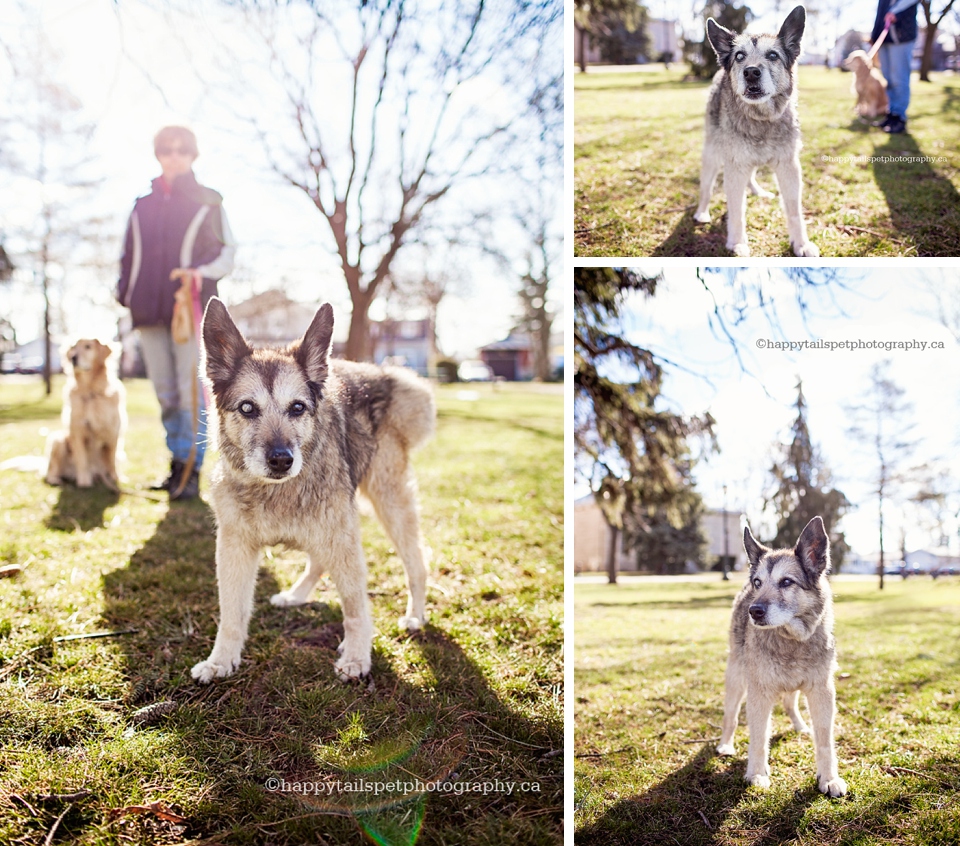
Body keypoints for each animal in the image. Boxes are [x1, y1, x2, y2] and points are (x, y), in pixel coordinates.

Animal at [193, 302, 434, 684]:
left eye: (297, 407)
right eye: (247, 408)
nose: (281, 460)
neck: (274, 492)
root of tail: (383, 375)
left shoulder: (343, 539)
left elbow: (355, 606)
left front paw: (357, 656)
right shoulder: (235, 548)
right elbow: (231, 613)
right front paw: (221, 661)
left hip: (388, 505)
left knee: (417, 563)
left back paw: (415, 614)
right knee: (320, 561)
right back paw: (296, 595)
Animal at [692, 5, 820, 258]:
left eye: (772, 55)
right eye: (739, 56)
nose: (751, 72)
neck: (762, 119)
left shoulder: (788, 167)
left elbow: (794, 211)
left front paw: (801, 243)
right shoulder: (735, 167)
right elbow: (737, 211)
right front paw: (737, 242)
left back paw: (758, 191)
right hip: (712, 155)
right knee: (706, 189)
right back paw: (702, 212)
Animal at [716, 516, 844, 800]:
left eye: (786, 582)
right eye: (758, 583)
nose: (754, 611)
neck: (792, 641)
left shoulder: (822, 692)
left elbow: (825, 741)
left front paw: (829, 778)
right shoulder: (759, 694)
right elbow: (758, 738)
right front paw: (757, 774)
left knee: (789, 704)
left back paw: (800, 726)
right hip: (736, 680)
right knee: (731, 717)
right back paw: (726, 745)